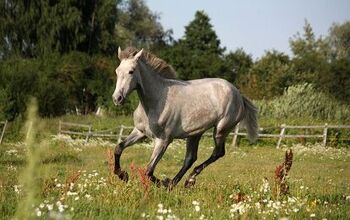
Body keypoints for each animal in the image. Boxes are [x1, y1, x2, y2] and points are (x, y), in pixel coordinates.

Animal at [112, 46, 258, 189]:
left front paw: (162, 182)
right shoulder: (140, 132)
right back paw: (180, 182)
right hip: (195, 134)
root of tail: (238, 94)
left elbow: (148, 171)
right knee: (190, 158)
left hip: (221, 129)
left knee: (218, 153)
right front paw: (122, 175)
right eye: (117, 71)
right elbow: (119, 147)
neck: (156, 101)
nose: (117, 98)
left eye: (131, 71)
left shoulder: (163, 140)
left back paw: (185, 180)